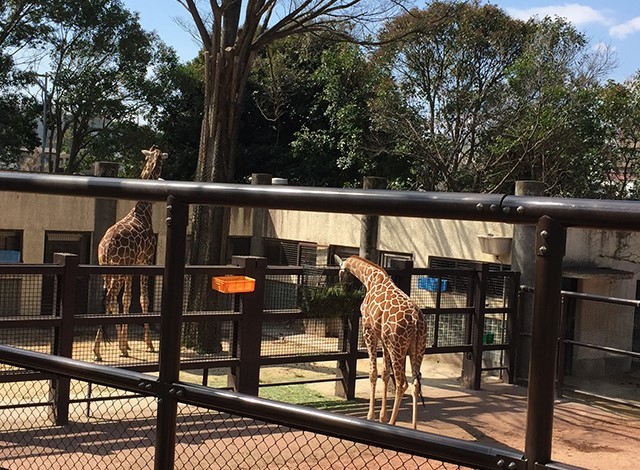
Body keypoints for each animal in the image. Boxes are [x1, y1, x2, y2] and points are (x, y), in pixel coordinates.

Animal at [93, 145, 169, 362]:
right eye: (162, 162)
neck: (143, 210)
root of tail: (105, 247)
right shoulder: (146, 260)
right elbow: (143, 299)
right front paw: (149, 345)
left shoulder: (131, 265)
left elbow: (126, 301)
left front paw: (125, 344)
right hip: (116, 270)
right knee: (110, 298)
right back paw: (98, 350)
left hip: (105, 269)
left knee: (108, 300)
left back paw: (108, 347)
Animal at [332, 255, 428, 428]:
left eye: (340, 273)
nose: (342, 288)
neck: (370, 278)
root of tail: (416, 320)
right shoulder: (384, 340)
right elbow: (384, 373)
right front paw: (382, 417)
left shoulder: (369, 330)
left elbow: (373, 372)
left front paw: (371, 416)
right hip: (417, 349)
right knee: (415, 384)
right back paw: (413, 427)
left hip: (397, 347)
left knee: (402, 383)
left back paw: (392, 422)